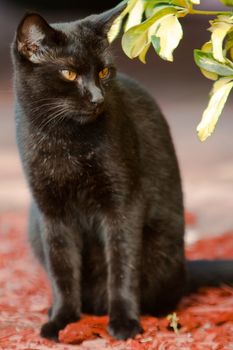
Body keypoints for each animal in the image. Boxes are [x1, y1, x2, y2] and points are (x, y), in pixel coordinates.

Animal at [11, 2, 233, 342]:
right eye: (69, 73)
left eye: (103, 71)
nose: (97, 97)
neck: (65, 141)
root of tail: (184, 268)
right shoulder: (51, 212)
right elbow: (62, 270)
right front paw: (62, 319)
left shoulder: (123, 203)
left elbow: (122, 265)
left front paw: (125, 321)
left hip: (162, 249)